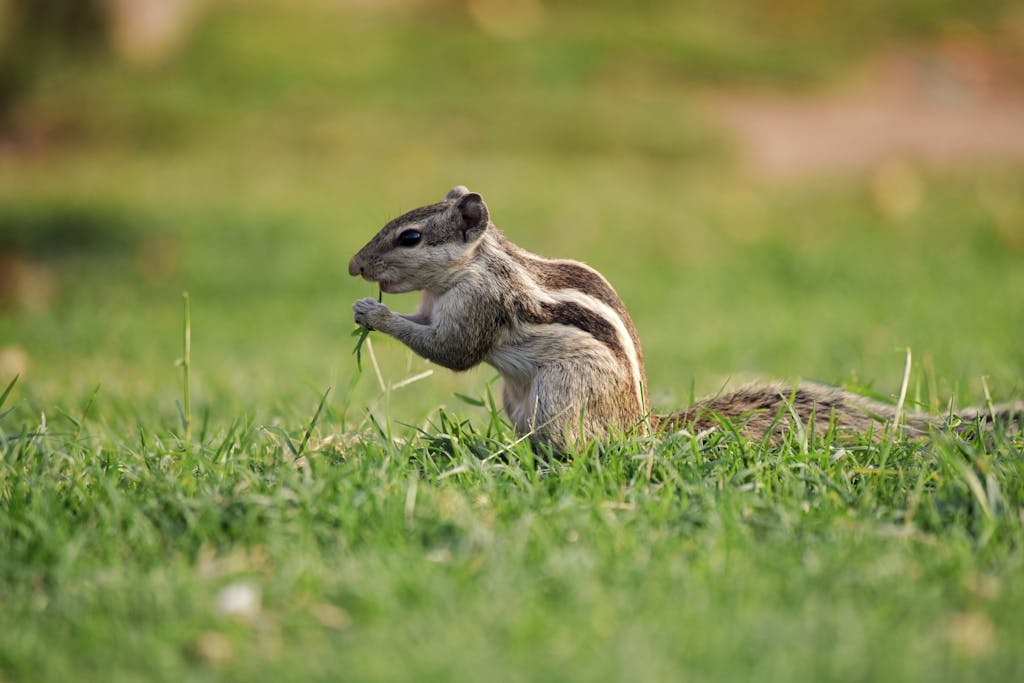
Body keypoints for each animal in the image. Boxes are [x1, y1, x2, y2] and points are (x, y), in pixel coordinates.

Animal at [349, 186, 1021, 450]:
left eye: (410, 237)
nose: (354, 267)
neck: (471, 265)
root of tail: (640, 427)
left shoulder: (480, 305)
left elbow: (454, 353)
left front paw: (373, 314)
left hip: (560, 398)